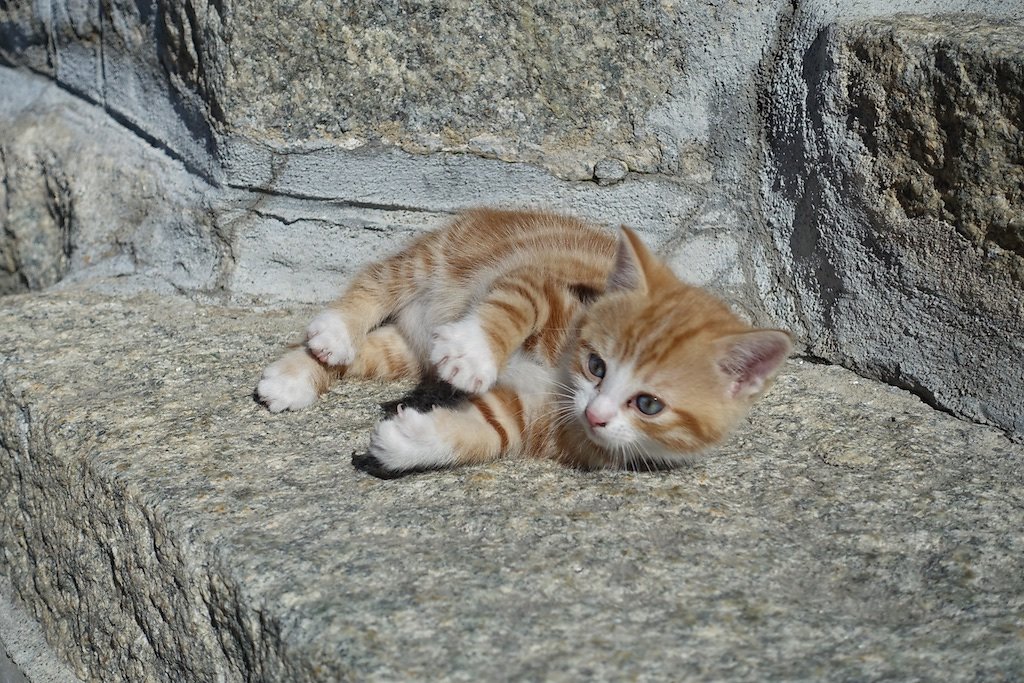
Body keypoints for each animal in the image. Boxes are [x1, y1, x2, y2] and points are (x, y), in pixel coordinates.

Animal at [256, 206, 790, 475]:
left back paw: (296, 375)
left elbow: (489, 431)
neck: (563, 380)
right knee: (375, 283)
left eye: (649, 405)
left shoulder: (536, 418)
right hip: (439, 256)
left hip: (406, 353)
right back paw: (333, 334)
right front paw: (472, 353)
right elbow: (516, 304)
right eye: (596, 365)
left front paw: (407, 443)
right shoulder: (544, 284)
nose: (597, 413)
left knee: (373, 352)